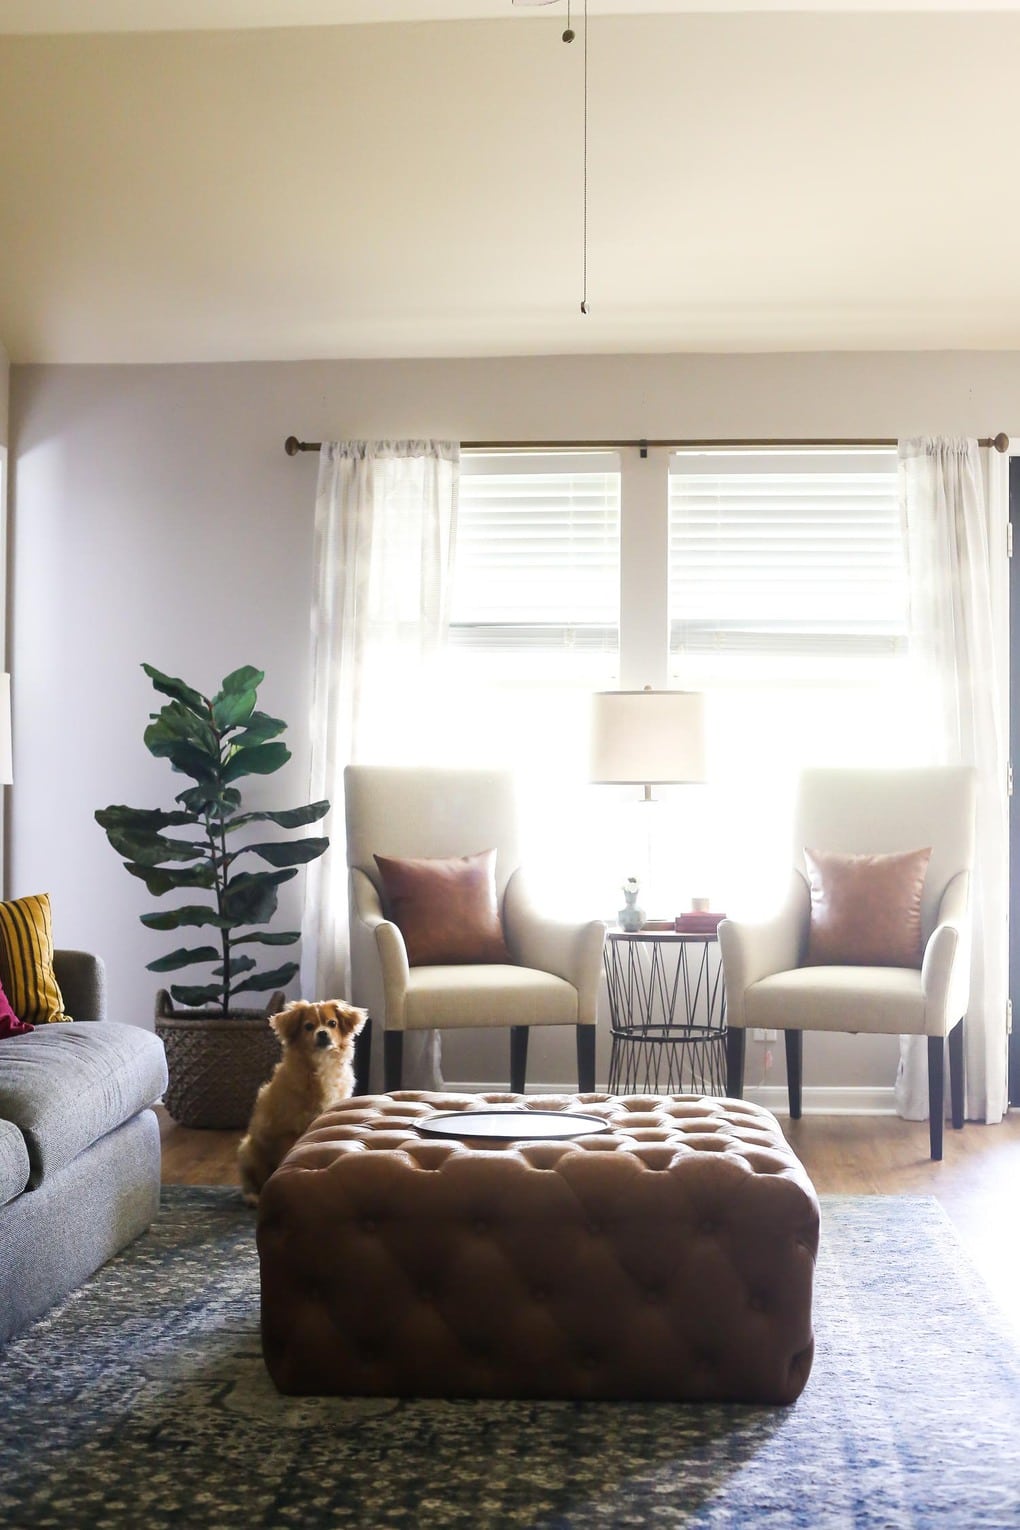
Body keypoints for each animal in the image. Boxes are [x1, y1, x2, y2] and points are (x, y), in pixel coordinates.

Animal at [238, 1003, 367, 1205]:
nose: (322, 1033)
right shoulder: (288, 1131)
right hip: (248, 1151)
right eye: (308, 1026)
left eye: (332, 1023)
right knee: (252, 1182)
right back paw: (254, 1197)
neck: (321, 1063)